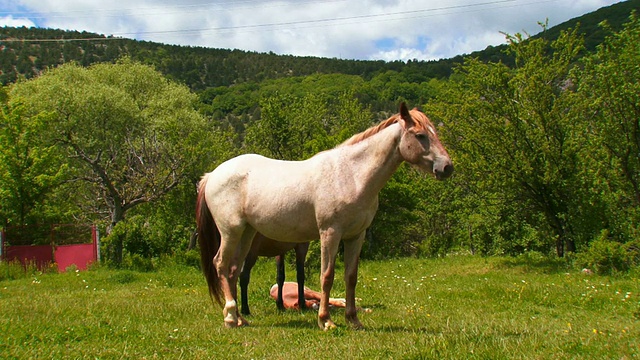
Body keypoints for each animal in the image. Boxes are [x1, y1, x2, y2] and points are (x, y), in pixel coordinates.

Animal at [198, 102, 452, 330]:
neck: (351, 175)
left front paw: (353, 320)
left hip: (247, 233)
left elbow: (351, 277)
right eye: (420, 135)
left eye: (434, 133)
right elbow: (327, 276)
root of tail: (211, 175)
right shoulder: (330, 233)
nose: (447, 168)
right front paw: (326, 321)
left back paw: (241, 319)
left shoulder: (356, 236)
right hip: (231, 232)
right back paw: (230, 318)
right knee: (221, 264)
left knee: (233, 270)